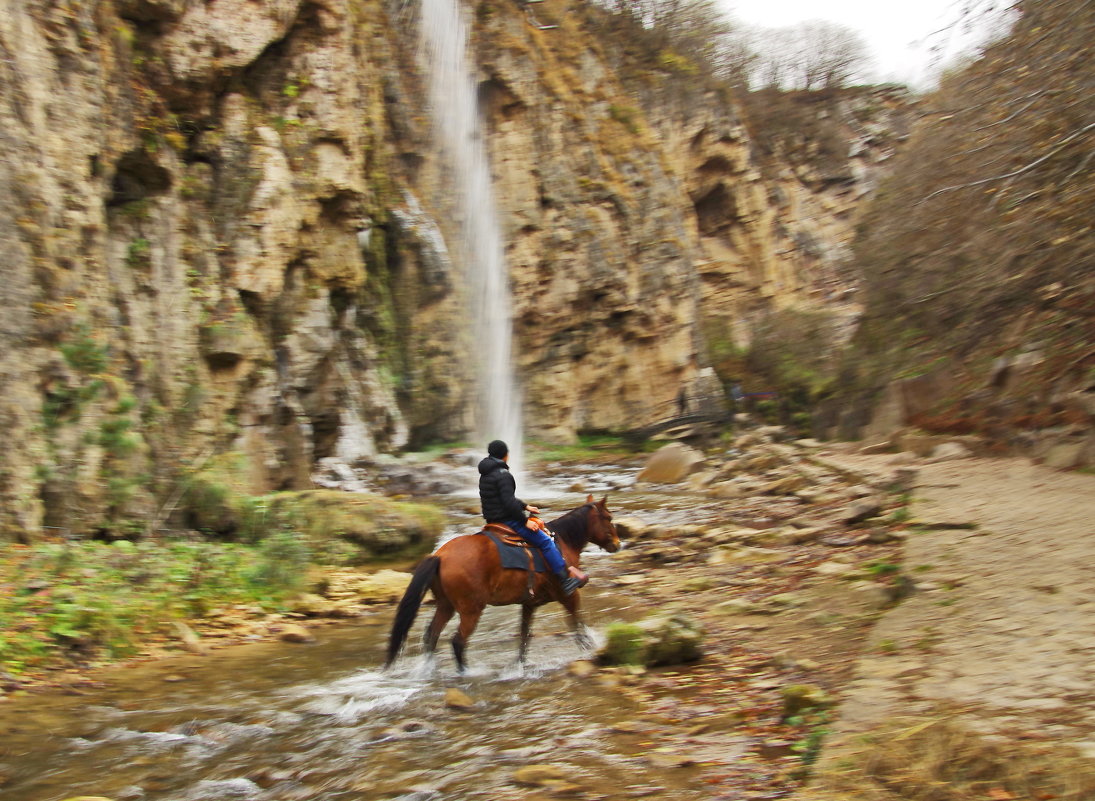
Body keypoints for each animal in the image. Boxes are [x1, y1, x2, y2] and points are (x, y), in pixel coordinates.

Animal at [387, 494, 621, 669]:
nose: (618, 544)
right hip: (471, 609)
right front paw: (591, 648)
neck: (562, 541)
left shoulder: (529, 604)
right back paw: (466, 673)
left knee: (431, 636)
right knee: (458, 642)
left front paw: (520, 666)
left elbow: (524, 637)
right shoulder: (569, 594)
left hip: (446, 605)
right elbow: (577, 624)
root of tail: (440, 555)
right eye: (608, 518)